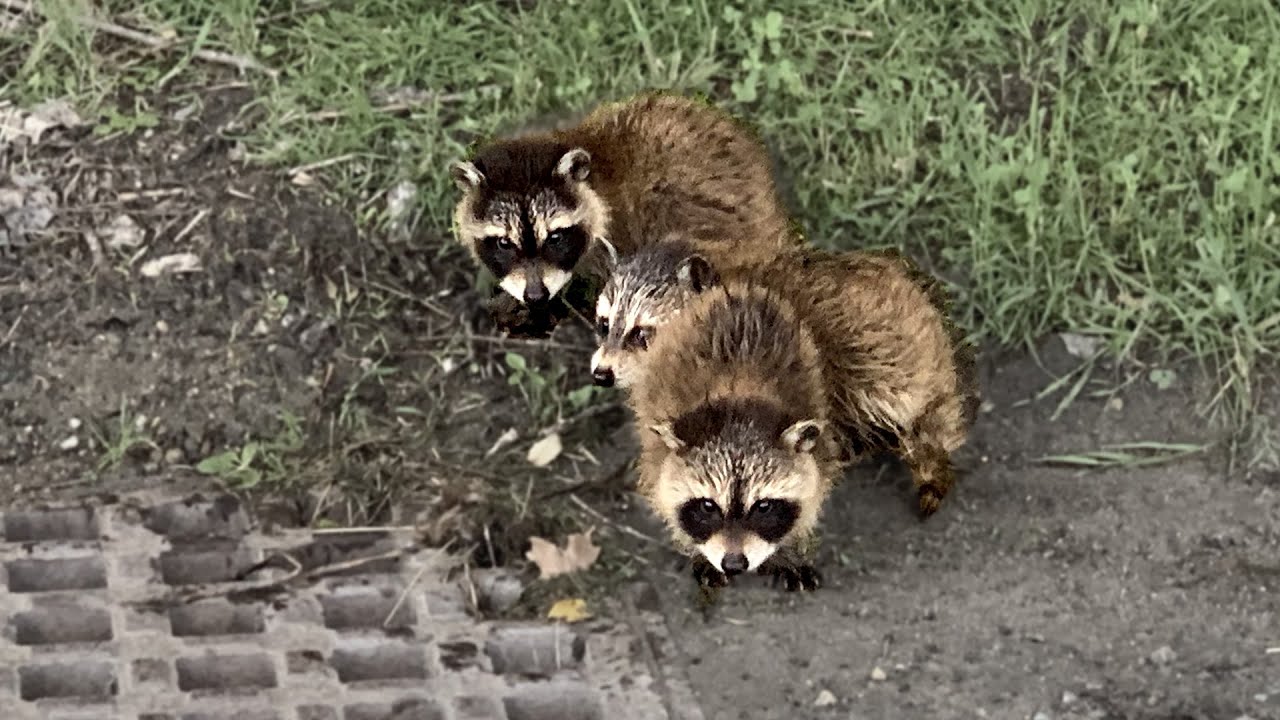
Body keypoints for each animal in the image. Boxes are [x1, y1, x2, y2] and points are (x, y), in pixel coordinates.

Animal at [628, 281, 844, 591]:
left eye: (763, 507)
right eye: (707, 506)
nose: (733, 564)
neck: (737, 409)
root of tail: (739, 290)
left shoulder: (821, 445)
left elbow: (813, 491)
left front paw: (788, 548)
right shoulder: (657, 448)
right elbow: (661, 488)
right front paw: (697, 549)